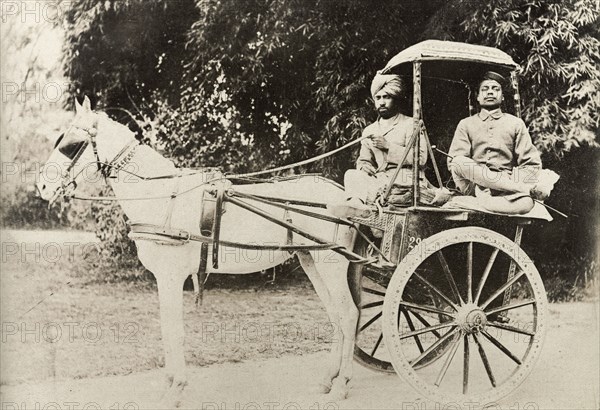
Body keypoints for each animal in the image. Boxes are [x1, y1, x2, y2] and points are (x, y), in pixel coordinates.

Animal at [37, 97, 364, 408]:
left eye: (71, 144)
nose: (41, 186)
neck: (161, 197)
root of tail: (346, 197)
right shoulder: (163, 278)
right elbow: (166, 328)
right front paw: (169, 384)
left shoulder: (171, 276)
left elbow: (174, 330)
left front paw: (175, 390)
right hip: (311, 261)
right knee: (336, 316)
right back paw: (326, 380)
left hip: (331, 263)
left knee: (349, 315)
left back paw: (342, 385)